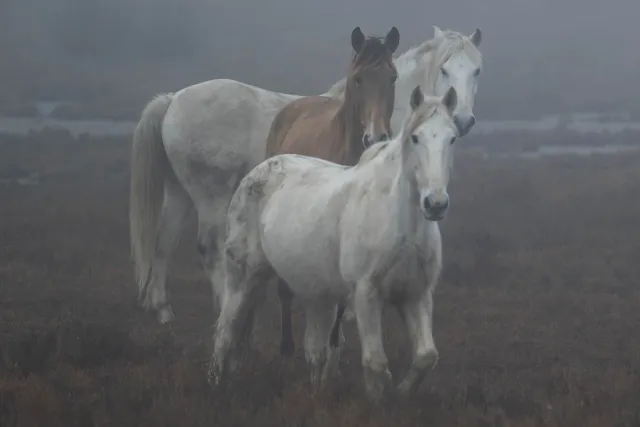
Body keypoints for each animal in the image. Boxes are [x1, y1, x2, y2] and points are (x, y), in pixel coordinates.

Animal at [129, 25, 480, 324]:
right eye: (445, 69)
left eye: (477, 70)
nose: (463, 120)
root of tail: (173, 100)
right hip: (211, 196)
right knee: (208, 247)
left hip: (180, 192)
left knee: (163, 240)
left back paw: (163, 310)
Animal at [210, 86, 460, 402]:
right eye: (416, 137)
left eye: (453, 138)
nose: (435, 204)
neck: (400, 221)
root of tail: (256, 172)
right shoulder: (366, 295)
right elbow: (375, 362)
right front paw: (379, 399)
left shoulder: (416, 295)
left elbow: (426, 356)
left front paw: (402, 393)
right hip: (243, 277)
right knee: (226, 330)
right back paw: (219, 386)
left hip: (318, 297)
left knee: (315, 351)